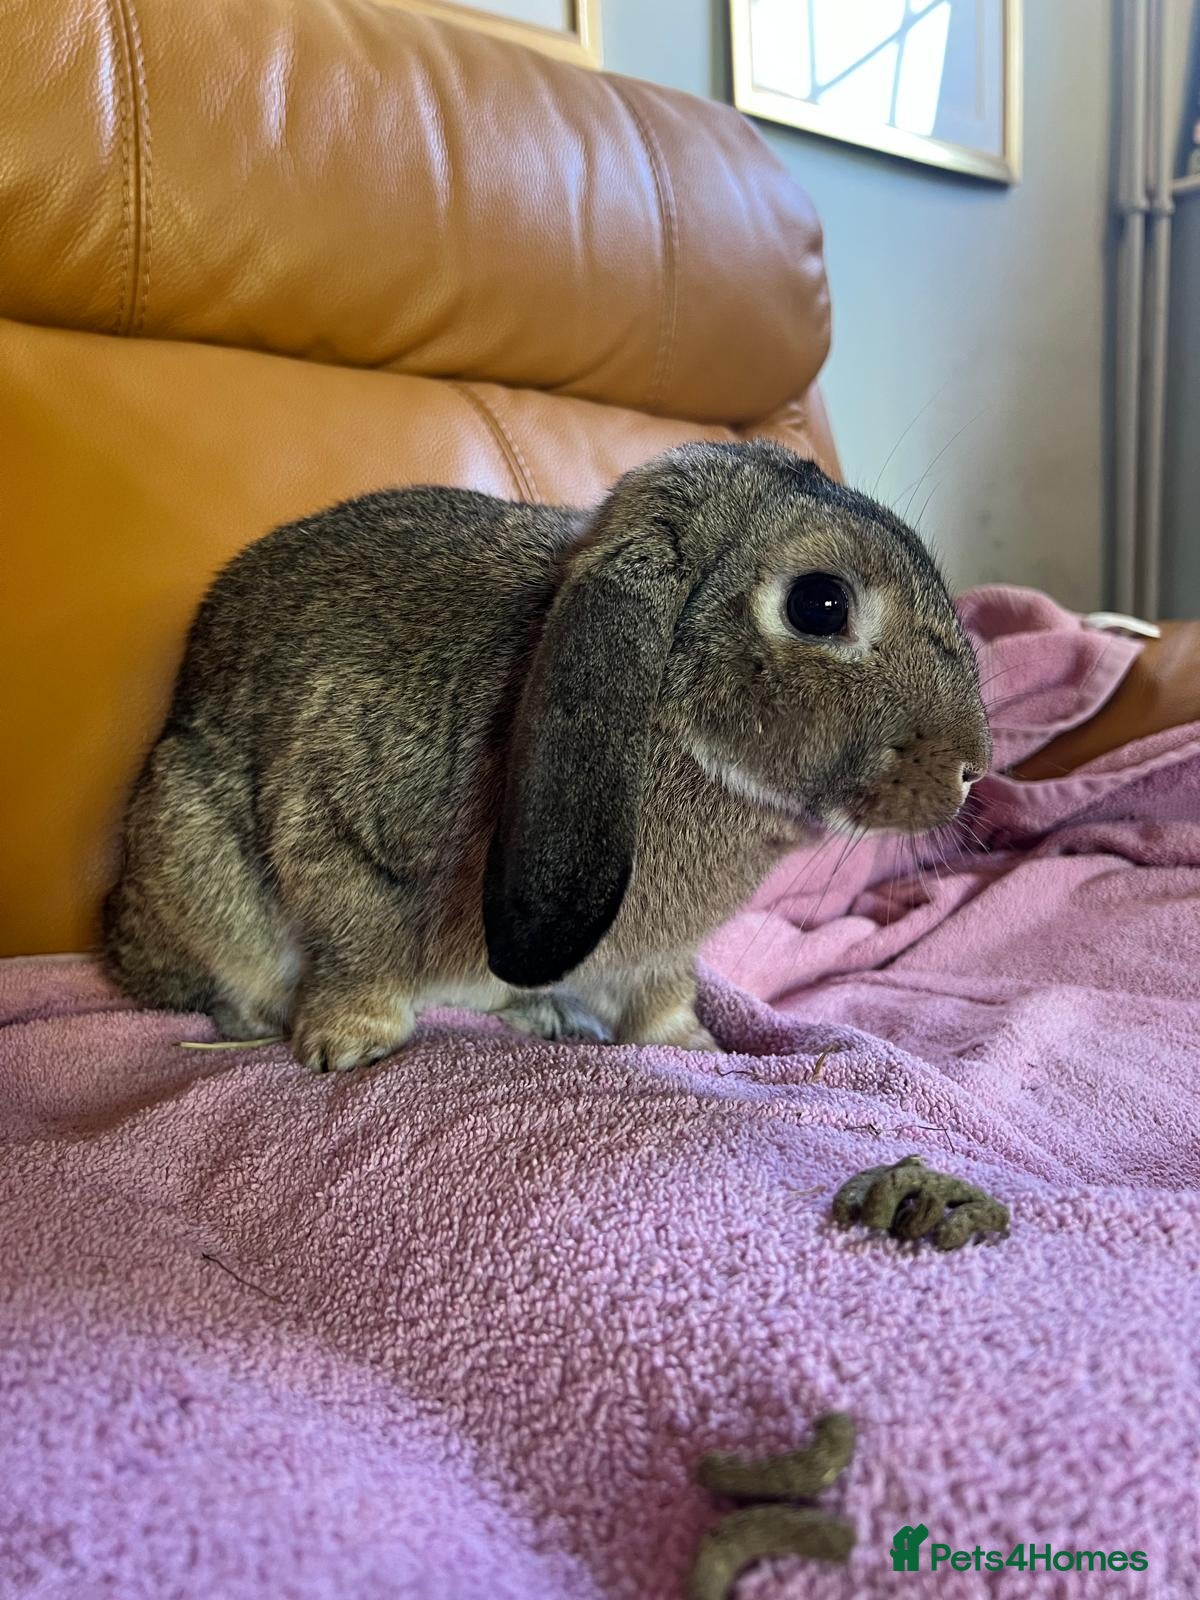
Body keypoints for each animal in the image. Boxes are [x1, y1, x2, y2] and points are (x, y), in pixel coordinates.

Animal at [103, 440, 991, 1072]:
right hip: (188, 841)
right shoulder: (340, 826)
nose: (971, 767)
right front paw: (348, 1044)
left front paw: (690, 1046)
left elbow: (664, 994)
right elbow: (357, 947)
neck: (663, 717)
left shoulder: (660, 957)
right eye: (820, 604)